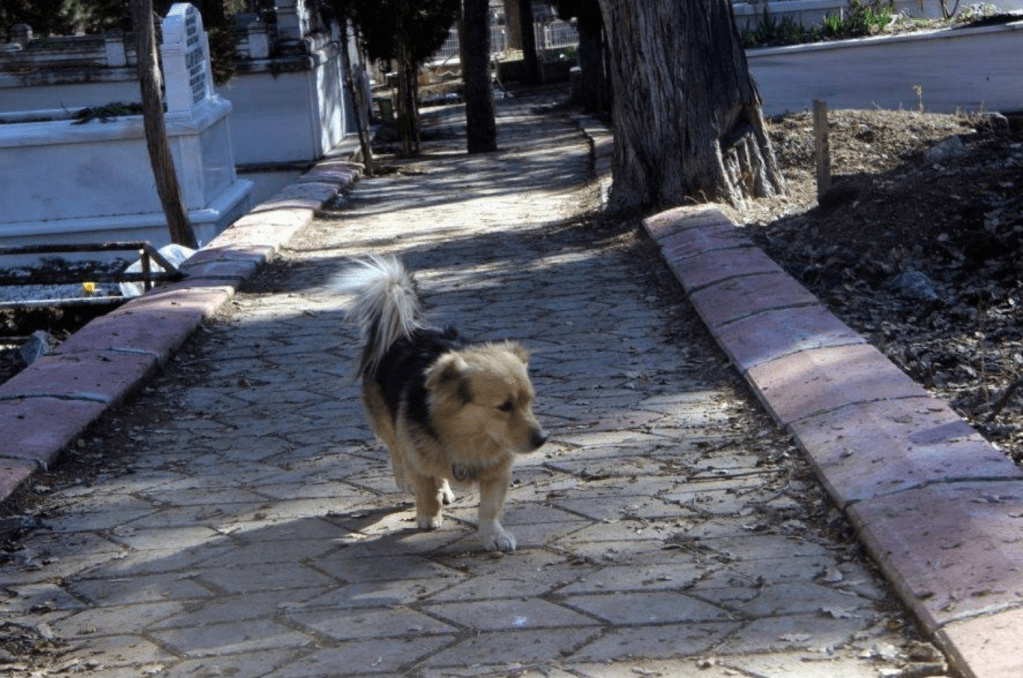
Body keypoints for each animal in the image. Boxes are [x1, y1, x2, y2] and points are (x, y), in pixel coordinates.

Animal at [339, 254, 548, 552]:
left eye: (529, 402)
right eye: (504, 407)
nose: (543, 438)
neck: (465, 435)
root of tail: (407, 329)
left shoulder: (498, 470)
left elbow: (489, 508)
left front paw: (493, 535)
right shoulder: (417, 453)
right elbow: (425, 487)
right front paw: (428, 516)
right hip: (386, 422)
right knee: (396, 451)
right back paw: (407, 480)